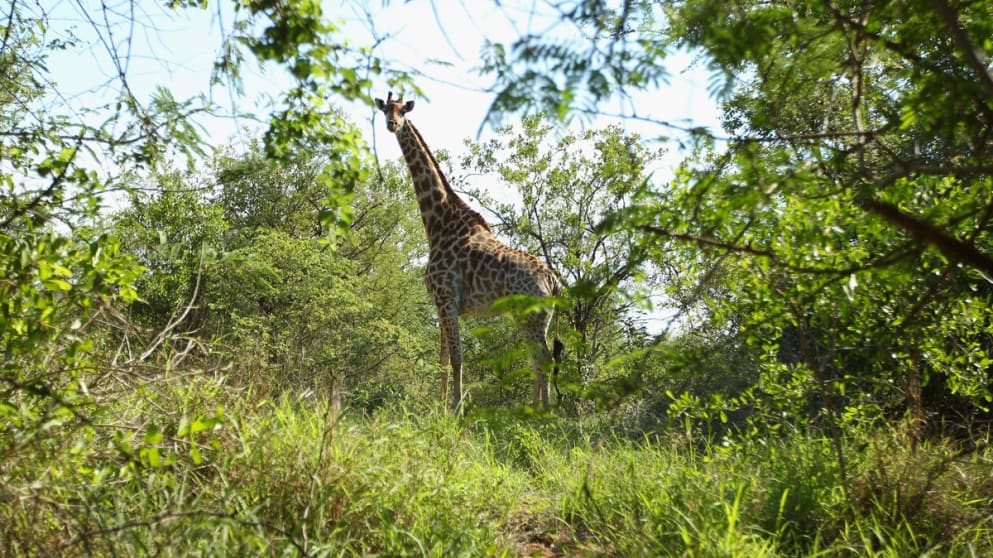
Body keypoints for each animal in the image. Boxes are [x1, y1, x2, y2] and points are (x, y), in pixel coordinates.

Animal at [376, 92, 563, 411]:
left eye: (403, 111)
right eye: (386, 109)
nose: (392, 124)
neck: (438, 224)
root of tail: (552, 280)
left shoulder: (447, 297)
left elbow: (457, 358)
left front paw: (457, 409)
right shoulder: (439, 302)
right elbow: (442, 358)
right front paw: (439, 407)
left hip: (532, 317)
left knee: (545, 358)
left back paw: (547, 413)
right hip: (531, 317)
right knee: (537, 359)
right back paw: (532, 409)